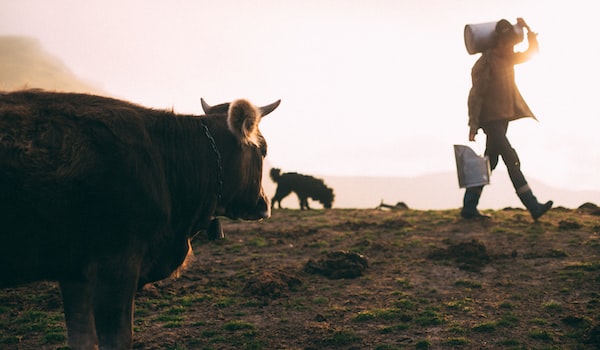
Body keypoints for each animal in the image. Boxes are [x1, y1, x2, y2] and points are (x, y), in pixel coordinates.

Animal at [0, 89, 282, 348]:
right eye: (264, 150)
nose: (264, 203)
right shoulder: (115, 265)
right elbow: (118, 339)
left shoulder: (73, 271)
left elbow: (82, 338)